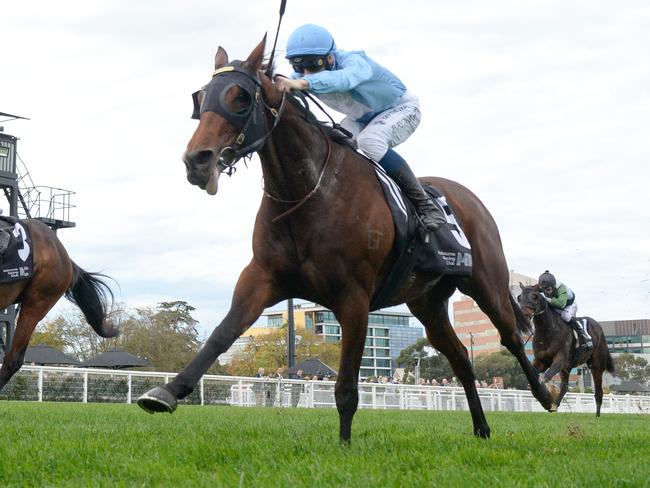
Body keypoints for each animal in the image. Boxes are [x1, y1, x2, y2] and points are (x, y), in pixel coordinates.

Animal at [138, 37, 556, 442]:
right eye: (200, 97)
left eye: (240, 97)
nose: (197, 160)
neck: (309, 191)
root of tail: (470, 198)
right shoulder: (262, 277)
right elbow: (222, 333)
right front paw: (167, 391)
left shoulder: (353, 297)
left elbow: (346, 387)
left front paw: (344, 446)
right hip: (428, 303)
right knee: (461, 360)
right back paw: (482, 429)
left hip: (486, 282)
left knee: (511, 337)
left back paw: (546, 394)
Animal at [516, 282, 612, 416]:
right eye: (519, 297)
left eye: (535, 296)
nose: (523, 316)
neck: (548, 330)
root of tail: (598, 326)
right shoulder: (541, 361)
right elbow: (534, 378)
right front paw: (545, 399)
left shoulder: (560, 360)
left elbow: (546, 376)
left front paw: (547, 396)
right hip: (568, 367)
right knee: (565, 386)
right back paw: (555, 405)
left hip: (596, 365)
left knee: (598, 392)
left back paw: (597, 416)